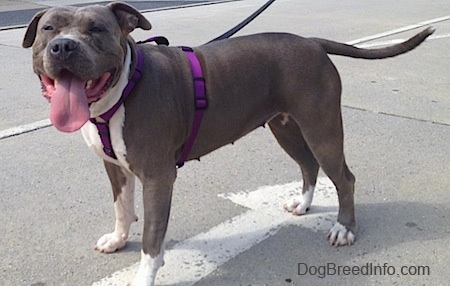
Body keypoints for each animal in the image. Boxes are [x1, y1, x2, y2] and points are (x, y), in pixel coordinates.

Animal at [22, 1, 436, 284]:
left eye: (96, 29)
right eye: (49, 28)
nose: (63, 47)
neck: (123, 88)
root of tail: (311, 42)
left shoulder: (158, 177)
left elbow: (152, 239)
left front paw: (143, 276)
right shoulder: (115, 168)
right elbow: (122, 209)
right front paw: (118, 238)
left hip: (322, 128)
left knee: (344, 178)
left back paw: (344, 229)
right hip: (286, 127)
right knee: (308, 165)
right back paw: (302, 205)